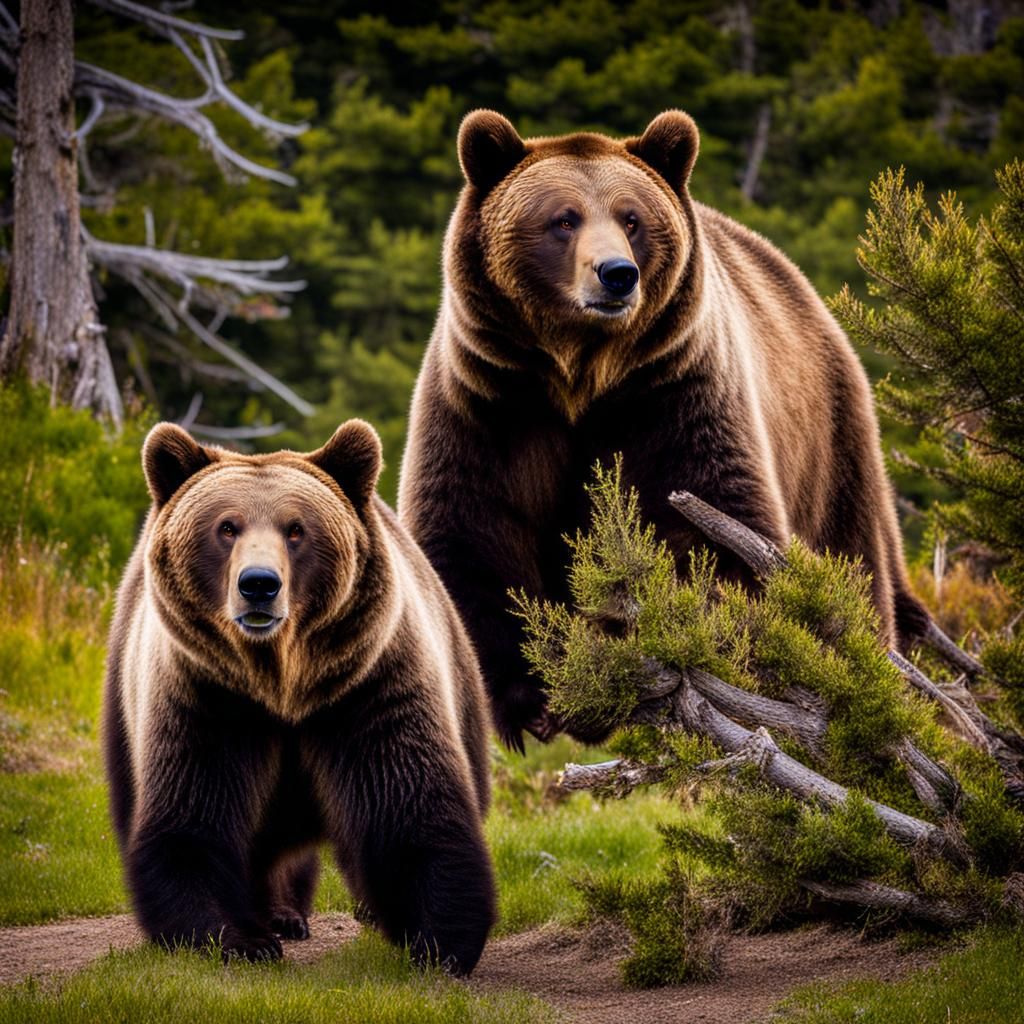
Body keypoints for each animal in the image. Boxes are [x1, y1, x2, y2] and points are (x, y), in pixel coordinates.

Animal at [103, 419, 495, 974]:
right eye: (227, 527)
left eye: (296, 529)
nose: (259, 585)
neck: (281, 683)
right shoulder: (205, 697)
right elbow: (193, 819)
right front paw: (239, 939)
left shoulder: (370, 686)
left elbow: (409, 803)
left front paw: (439, 939)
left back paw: (300, 914)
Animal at [397, 109, 930, 752]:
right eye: (563, 219)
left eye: (632, 218)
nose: (616, 274)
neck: (581, 376)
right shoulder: (491, 404)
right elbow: (471, 534)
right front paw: (534, 703)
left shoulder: (674, 398)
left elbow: (711, 532)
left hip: (829, 448)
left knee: (853, 569)